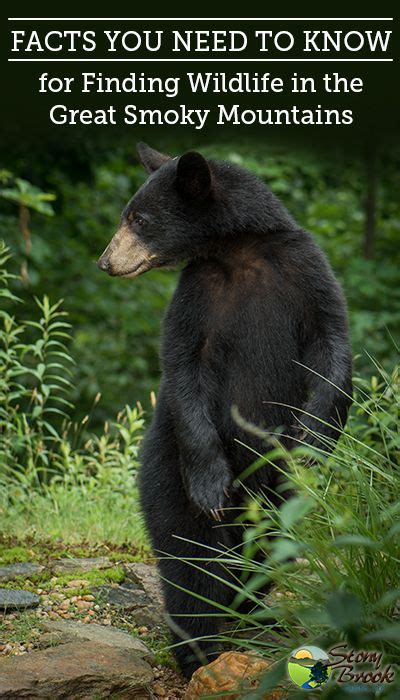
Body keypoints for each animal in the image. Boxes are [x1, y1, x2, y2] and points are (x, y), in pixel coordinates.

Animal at [98, 144, 352, 680]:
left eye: (139, 218)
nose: (106, 261)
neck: (239, 251)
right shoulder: (198, 294)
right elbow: (182, 366)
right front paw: (211, 485)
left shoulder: (305, 271)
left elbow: (333, 348)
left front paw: (309, 446)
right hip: (166, 462)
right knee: (192, 556)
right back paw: (200, 647)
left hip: (271, 501)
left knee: (267, 545)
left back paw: (251, 613)